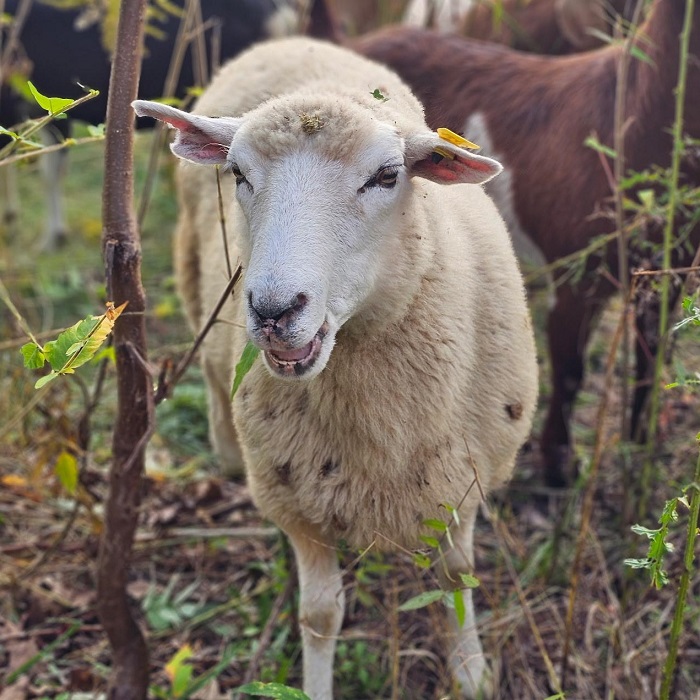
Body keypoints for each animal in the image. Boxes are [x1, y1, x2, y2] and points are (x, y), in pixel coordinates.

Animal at [133, 34, 538, 699]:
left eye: (387, 176)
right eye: (238, 173)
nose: (274, 311)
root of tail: (290, 40)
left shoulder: (463, 477)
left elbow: (457, 578)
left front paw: (472, 672)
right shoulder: (294, 499)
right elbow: (320, 615)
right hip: (194, 285)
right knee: (214, 378)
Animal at [353, 0, 700, 487]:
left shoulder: (668, 270)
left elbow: (652, 359)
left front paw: (641, 449)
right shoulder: (575, 271)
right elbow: (570, 369)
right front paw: (558, 469)